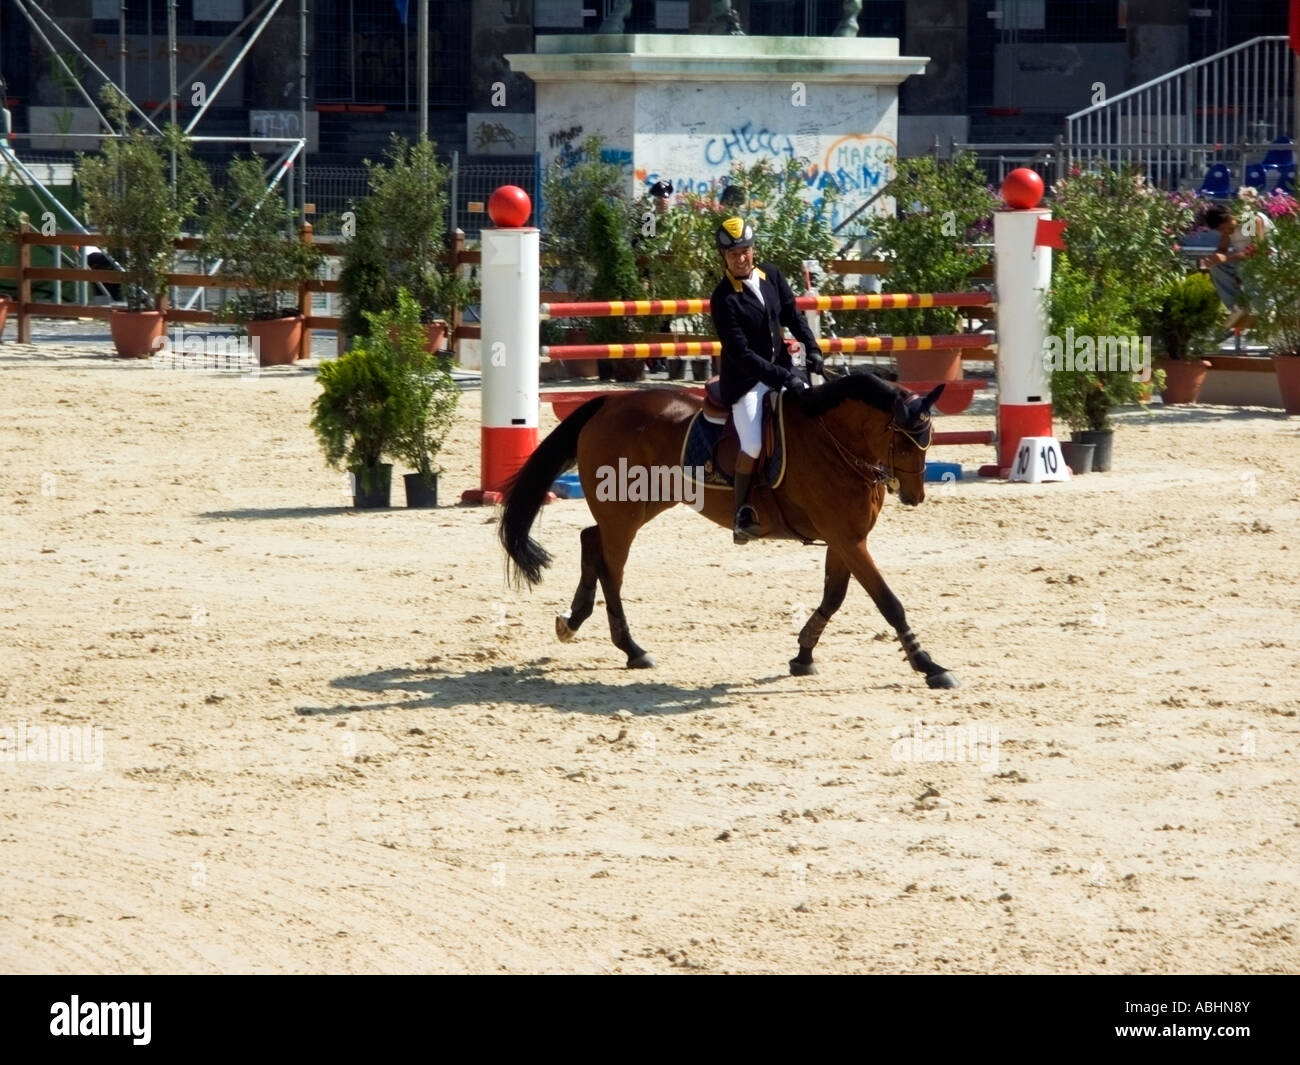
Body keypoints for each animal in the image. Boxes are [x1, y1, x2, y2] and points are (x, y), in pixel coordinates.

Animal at [496, 371, 956, 691]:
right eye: (904, 442)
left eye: (929, 439)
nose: (914, 497)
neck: (834, 441)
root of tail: (609, 401)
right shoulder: (848, 538)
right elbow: (889, 603)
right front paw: (929, 665)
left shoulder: (845, 538)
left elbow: (834, 596)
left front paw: (803, 653)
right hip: (624, 513)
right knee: (610, 567)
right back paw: (632, 648)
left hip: (640, 507)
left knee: (590, 541)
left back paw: (575, 622)